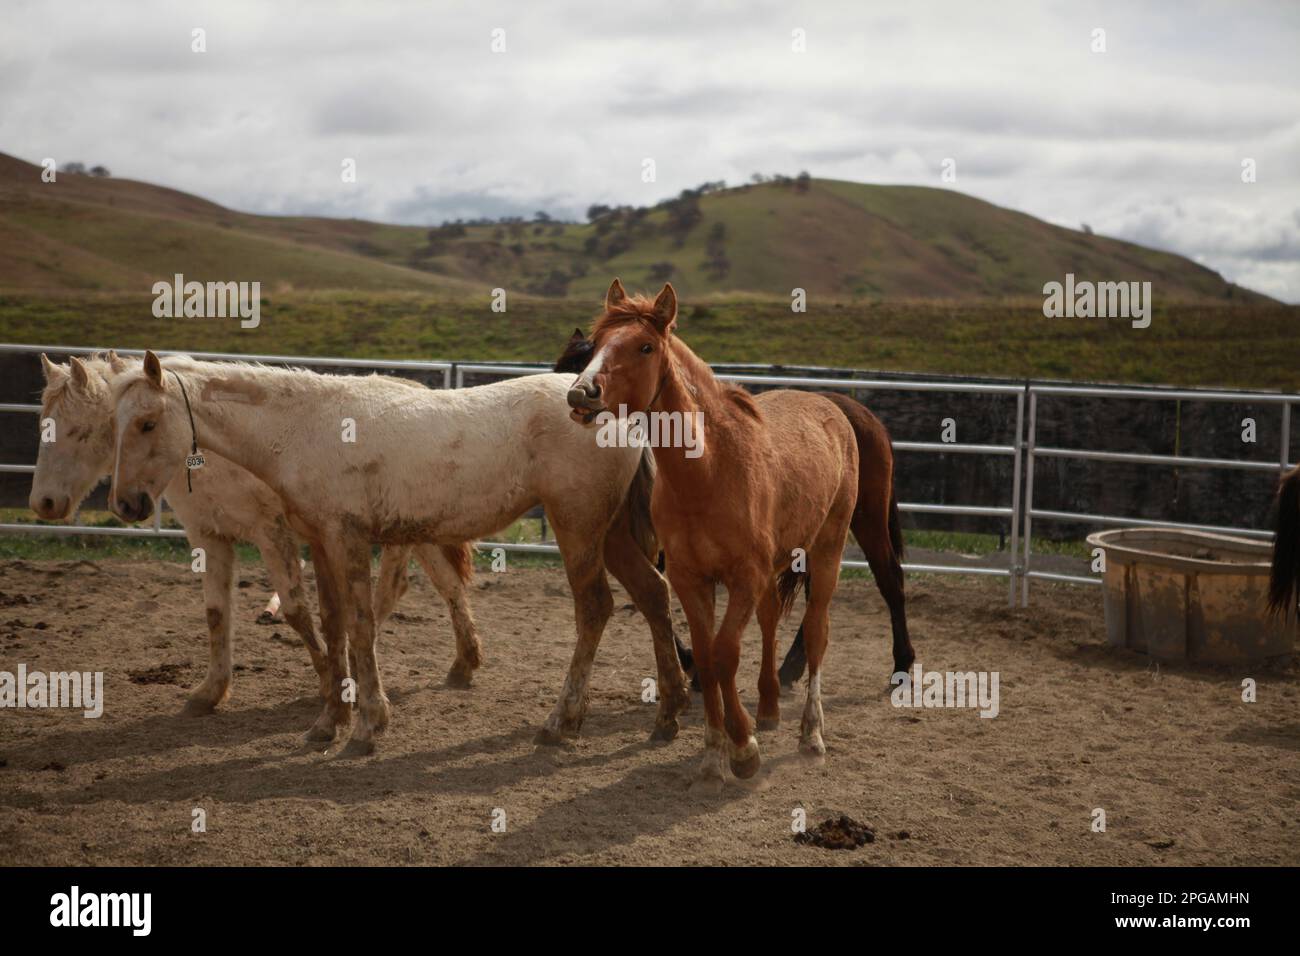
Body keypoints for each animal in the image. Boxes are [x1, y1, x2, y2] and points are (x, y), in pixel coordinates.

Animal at [31, 356, 488, 712]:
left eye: (79, 430)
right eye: (43, 426)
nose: (43, 503)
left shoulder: (272, 533)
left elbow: (296, 610)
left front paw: (328, 680)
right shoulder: (208, 536)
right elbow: (216, 614)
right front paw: (210, 692)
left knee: (400, 587)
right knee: (444, 584)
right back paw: (462, 664)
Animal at [109, 351, 691, 754]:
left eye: (147, 422)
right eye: (116, 423)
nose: (126, 503)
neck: (304, 426)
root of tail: (614, 410)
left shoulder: (348, 539)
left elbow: (361, 625)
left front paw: (368, 726)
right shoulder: (320, 541)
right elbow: (333, 624)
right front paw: (327, 724)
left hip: (579, 529)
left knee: (595, 609)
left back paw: (561, 722)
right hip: (610, 534)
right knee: (654, 596)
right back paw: (668, 714)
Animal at [556, 332, 915, 686]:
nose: (575, 404)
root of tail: (857, 412)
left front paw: (694, 668)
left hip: (865, 519)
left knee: (888, 577)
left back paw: (902, 665)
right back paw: (791, 668)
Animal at [569, 278, 863, 785]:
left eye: (645, 346)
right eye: (597, 342)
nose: (582, 392)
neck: (709, 470)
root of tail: (830, 408)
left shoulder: (744, 576)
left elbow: (726, 653)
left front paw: (743, 749)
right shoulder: (692, 579)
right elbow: (707, 659)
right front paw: (714, 750)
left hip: (827, 551)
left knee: (817, 632)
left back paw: (811, 734)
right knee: (769, 622)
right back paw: (768, 709)